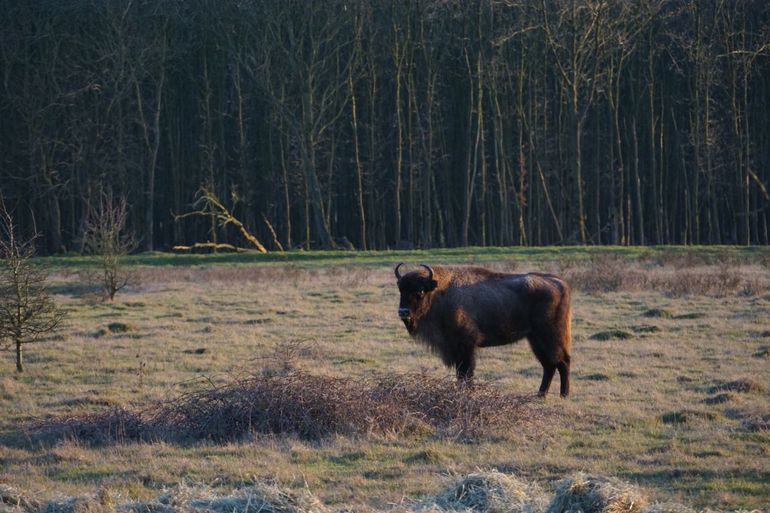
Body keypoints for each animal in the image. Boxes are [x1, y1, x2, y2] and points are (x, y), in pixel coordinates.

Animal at [396, 262, 568, 398]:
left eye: (420, 291)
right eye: (401, 290)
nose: (403, 312)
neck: (439, 293)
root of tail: (560, 282)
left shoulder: (465, 346)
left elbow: (466, 372)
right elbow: (460, 373)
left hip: (550, 337)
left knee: (562, 361)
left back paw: (563, 395)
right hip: (535, 340)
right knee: (549, 365)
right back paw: (541, 394)